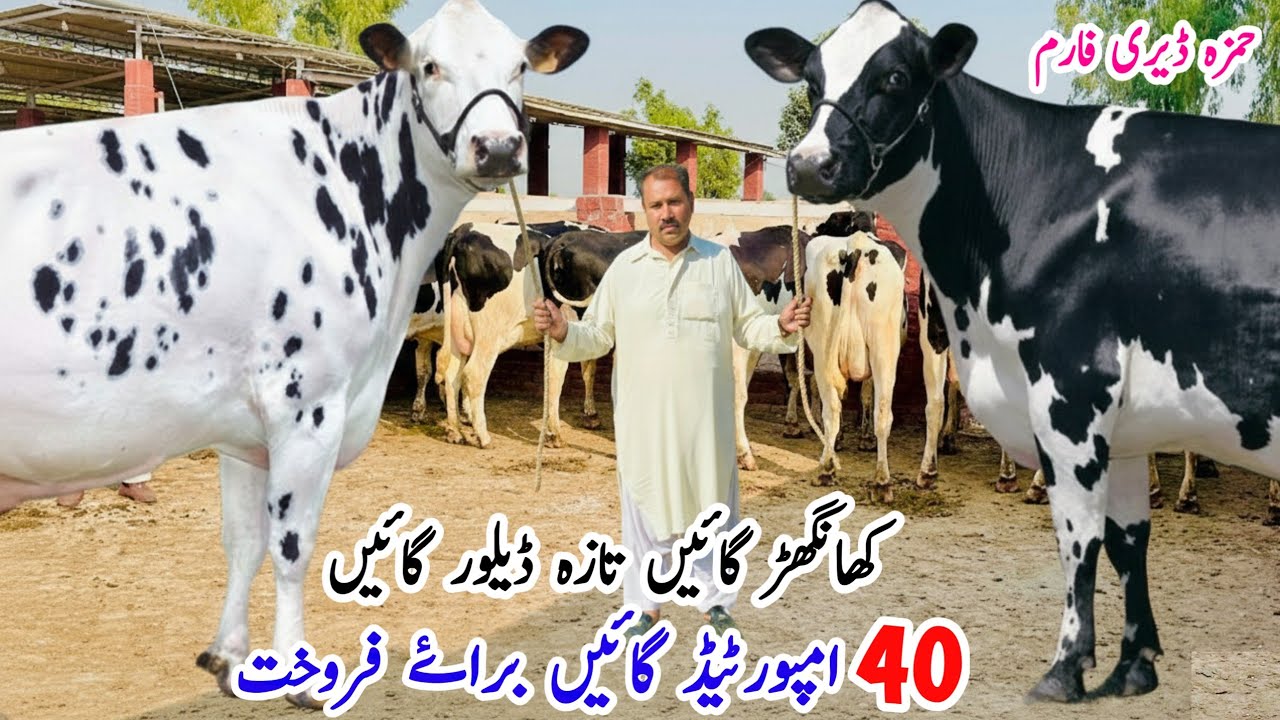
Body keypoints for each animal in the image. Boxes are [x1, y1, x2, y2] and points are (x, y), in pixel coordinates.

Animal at [0, 0, 587, 706]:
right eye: (429, 65)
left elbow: (242, 541)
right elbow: (291, 546)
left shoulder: (241, 428)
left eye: (520, 66)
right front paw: (300, 673)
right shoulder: (305, 408)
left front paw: (227, 657)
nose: (498, 147)